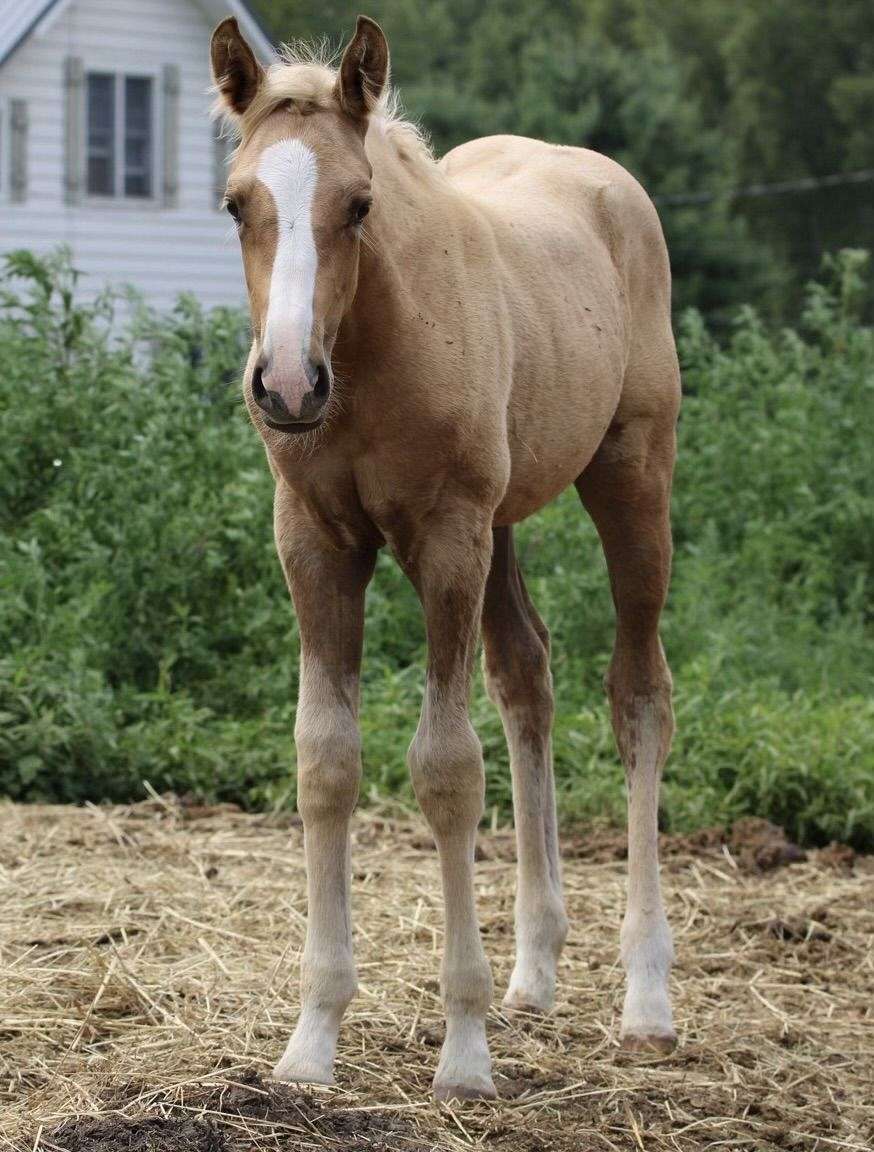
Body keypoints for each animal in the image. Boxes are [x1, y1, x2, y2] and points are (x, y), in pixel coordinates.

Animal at [211, 15, 681, 1096]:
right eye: (237, 202)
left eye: (358, 203)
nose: (287, 385)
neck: (372, 351)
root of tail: (603, 178)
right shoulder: (314, 542)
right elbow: (325, 760)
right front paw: (312, 1039)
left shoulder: (446, 539)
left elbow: (446, 769)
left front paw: (463, 1053)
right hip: (507, 521)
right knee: (527, 678)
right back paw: (534, 971)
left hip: (631, 478)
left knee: (638, 695)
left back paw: (644, 997)